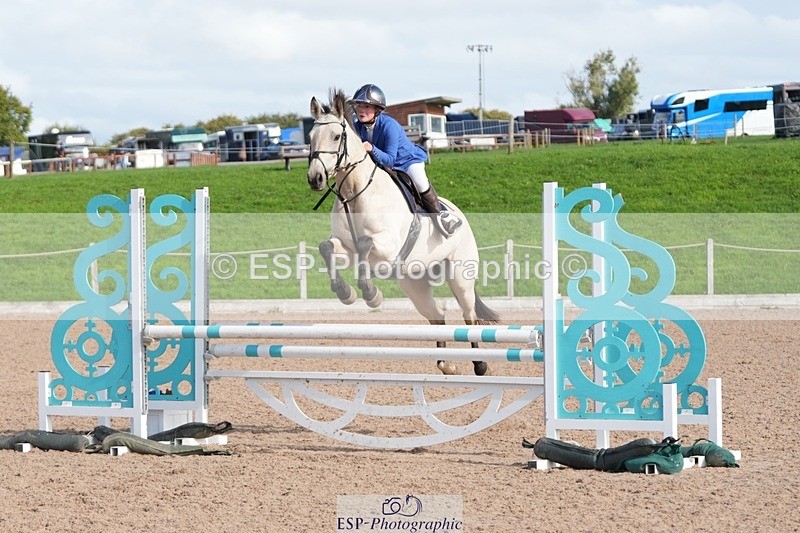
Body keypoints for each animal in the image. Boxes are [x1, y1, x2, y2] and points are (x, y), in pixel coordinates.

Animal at [306, 88, 499, 376]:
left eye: (337, 136)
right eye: (310, 138)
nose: (315, 178)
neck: (354, 192)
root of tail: (460, 215)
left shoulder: (386, 248)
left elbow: (365, 243)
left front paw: (371, 294)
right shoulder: (345, 246)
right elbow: (326, 247)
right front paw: (346, 293)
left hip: (460, 276)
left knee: (469, 317)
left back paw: (480, 364)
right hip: (414, 285)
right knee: (437, 316)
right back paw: (446, 364)